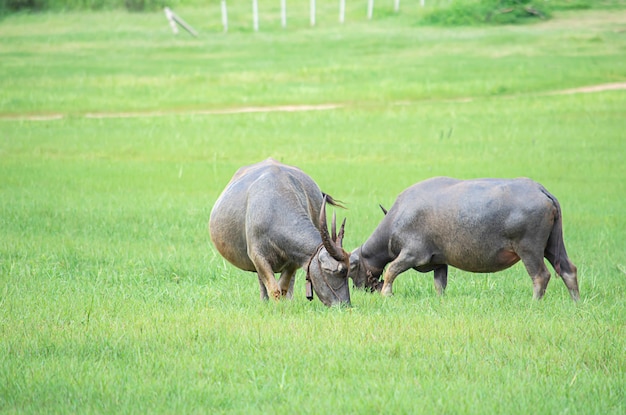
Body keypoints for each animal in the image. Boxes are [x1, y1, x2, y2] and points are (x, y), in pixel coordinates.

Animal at [210, 159, 352, 308]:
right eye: (339, 271)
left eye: (348, 271)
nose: (345, 305)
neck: (275, 212)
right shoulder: (257, 256)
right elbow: (274, 289)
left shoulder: (294, 260)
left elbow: (283, 286)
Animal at [348, 177, 576, 300]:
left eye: (351, 268)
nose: (361, 290)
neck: (397, 218)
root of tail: (541, 190)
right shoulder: (440, 261)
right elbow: (440, 284)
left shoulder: (412, 254)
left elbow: (392, 270)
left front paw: (387, 294)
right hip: (552, 244)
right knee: (568, 269)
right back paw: (576, 302)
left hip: (529, 248)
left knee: (540, 276)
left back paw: (534, 302)